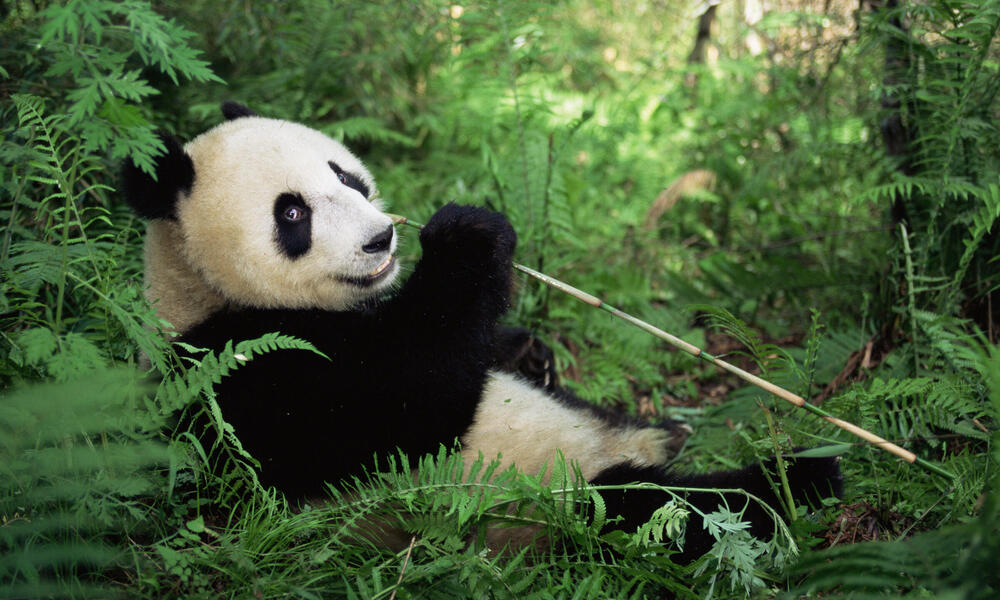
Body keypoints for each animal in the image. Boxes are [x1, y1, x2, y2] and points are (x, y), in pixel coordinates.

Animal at [125, 104, 844, 564]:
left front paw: (529, 349)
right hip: (549, 504)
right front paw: (467, 237)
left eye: (346, 175)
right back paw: (799, 480)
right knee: (665, 510)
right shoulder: (237, 373)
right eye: (293, 213)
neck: (200, 289)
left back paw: (672, 433)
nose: (382, 238)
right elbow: (404, 406)